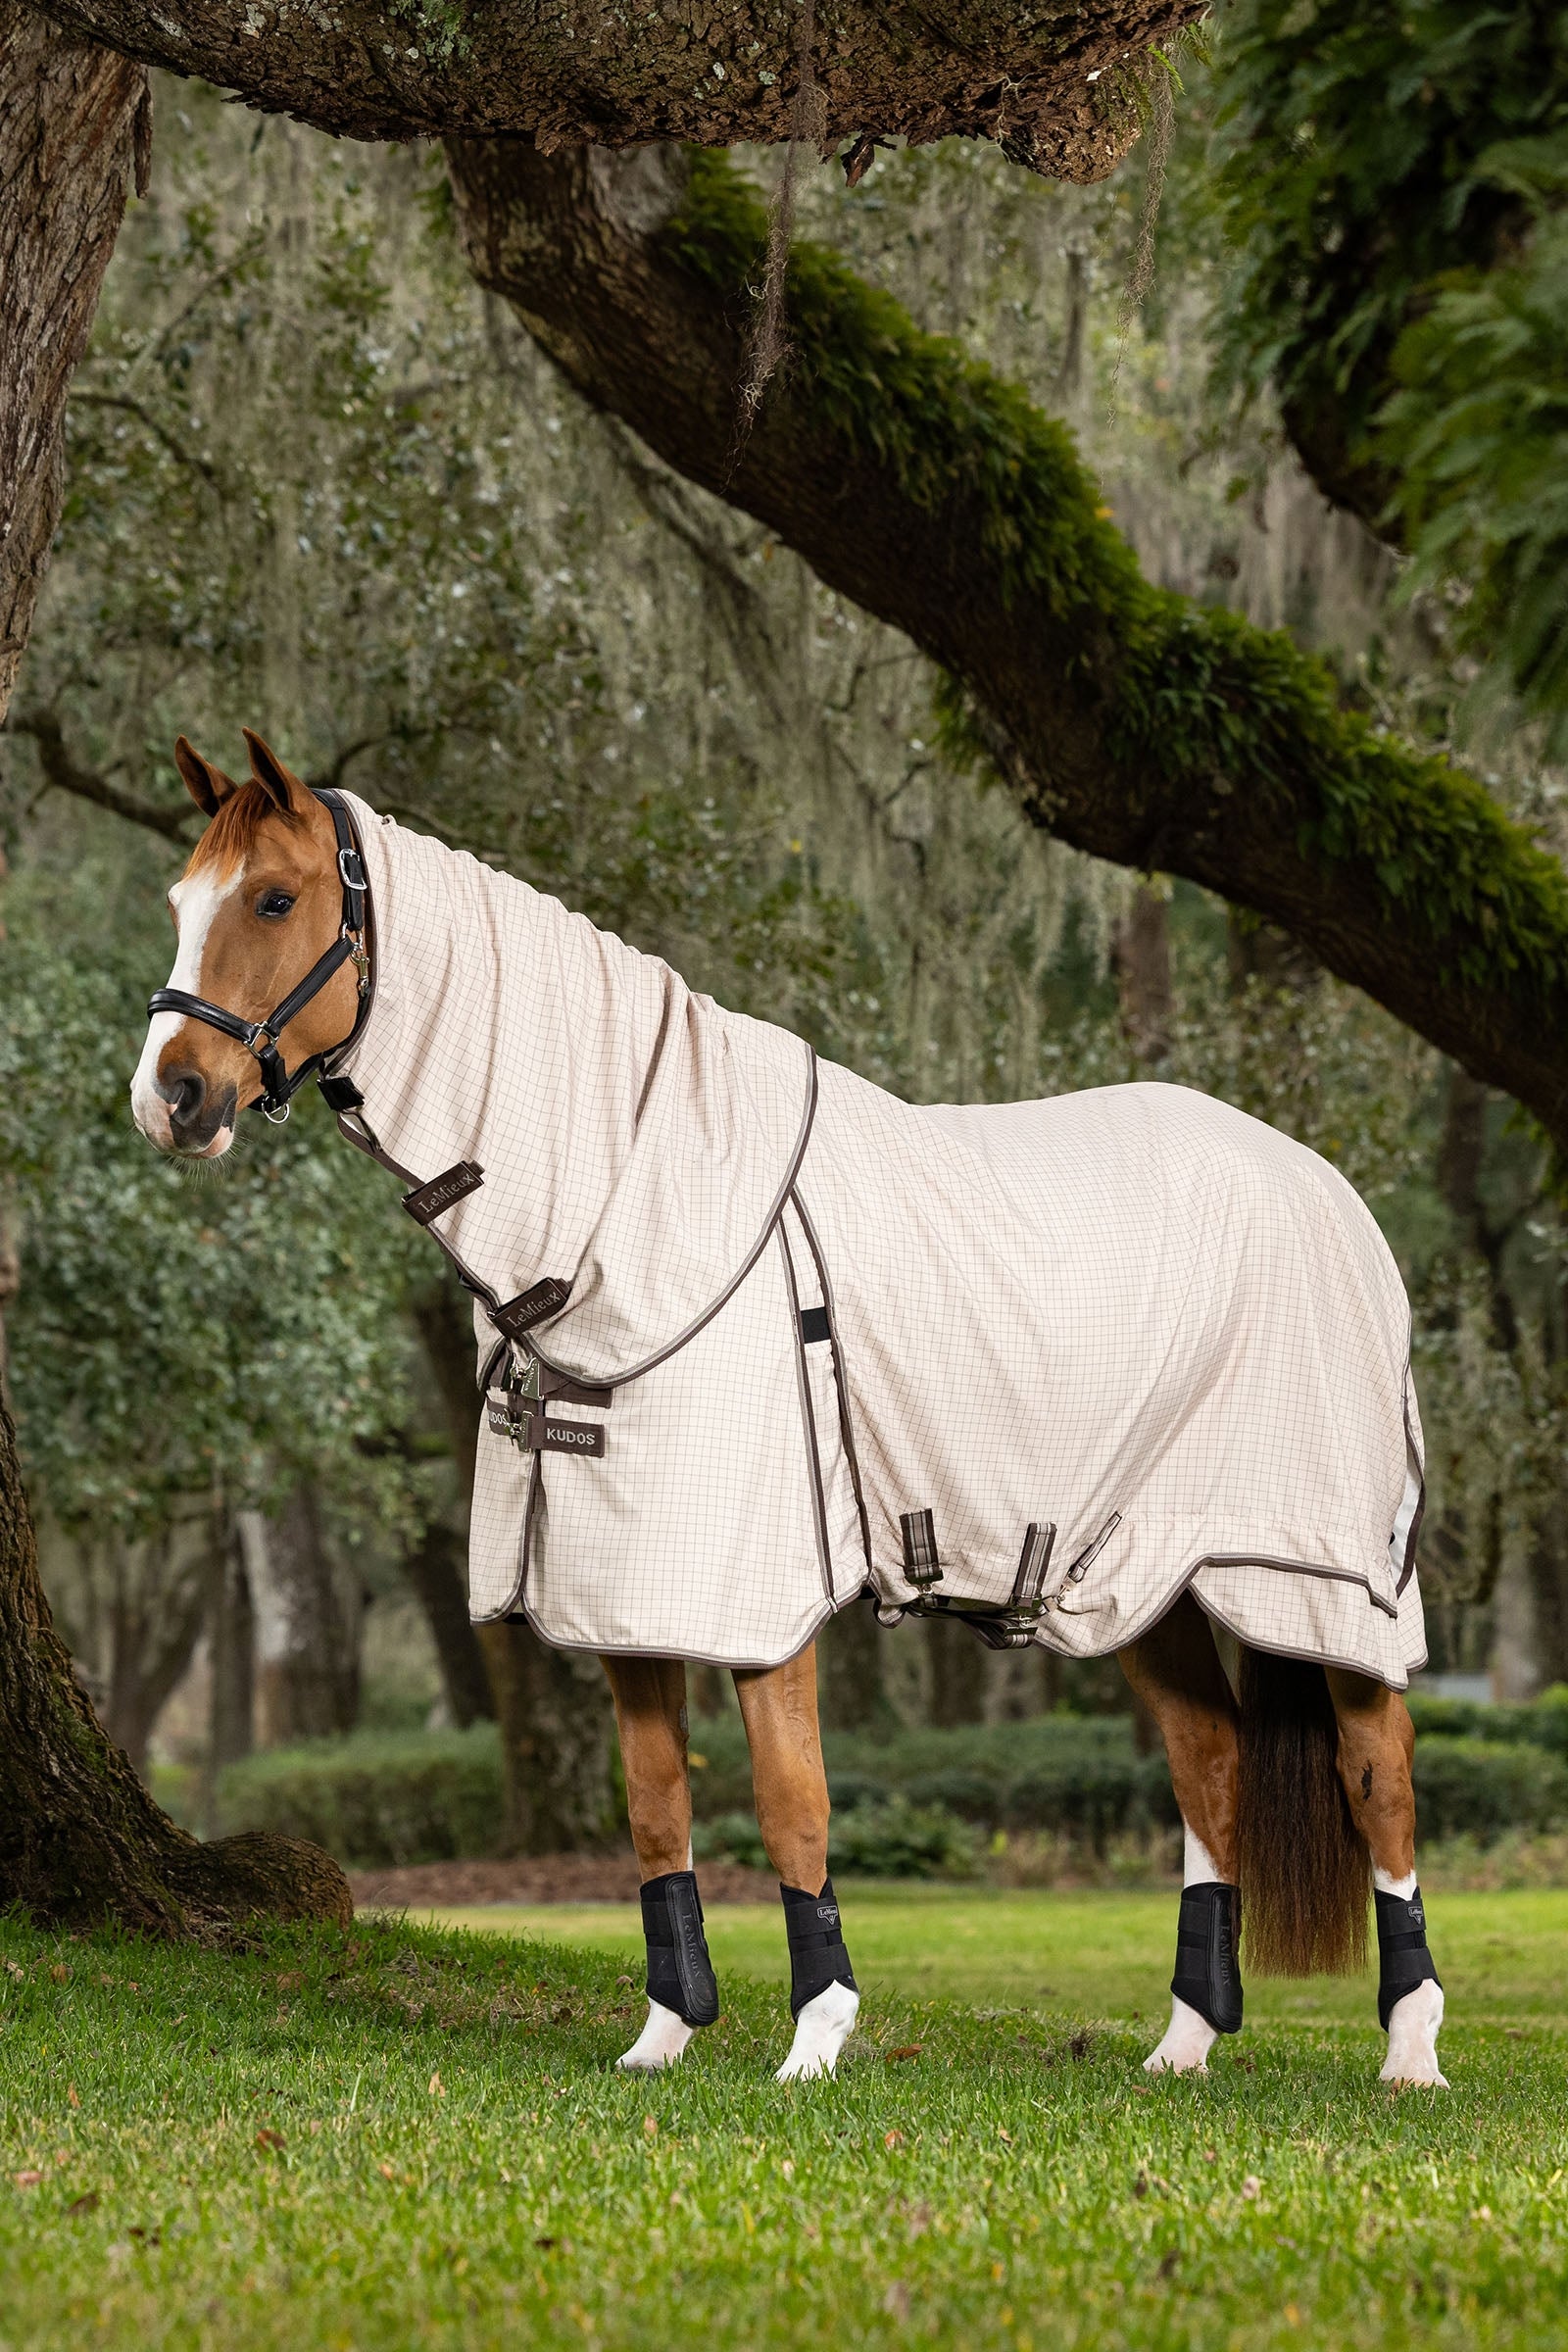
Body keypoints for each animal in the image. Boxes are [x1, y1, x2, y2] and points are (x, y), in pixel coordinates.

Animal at [131, 731, 1447, 2088]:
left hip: (1318, 1577)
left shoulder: (759, 1592)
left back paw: (1409, 2050)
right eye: (179, 902)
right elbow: (656, 1805)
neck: (636, 1198)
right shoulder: (628, 1595)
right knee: (1214, 1765)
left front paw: (816, 2035)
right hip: (1151, 1574)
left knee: (1379, 1775)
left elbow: (790, 1798)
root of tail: (1332, 1193)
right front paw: (664, 2032)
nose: (170, 1098)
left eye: (273, 899)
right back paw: (1184, 2042)